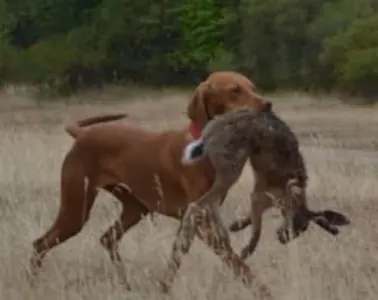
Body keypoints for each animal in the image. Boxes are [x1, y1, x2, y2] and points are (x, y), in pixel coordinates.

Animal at [30, 71, 268, 296]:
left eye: (253, 87)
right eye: (235, 90)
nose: (267, 105)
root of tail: (83, 133)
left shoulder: (193, 220)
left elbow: (177, 258)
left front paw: (164, 289)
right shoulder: (204, 222)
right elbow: (238, 263)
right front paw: (262, 291)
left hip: (136, 207)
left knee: (108, 238)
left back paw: (126, 287)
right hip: (76, 210)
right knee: (40, 243)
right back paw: (33, 284)